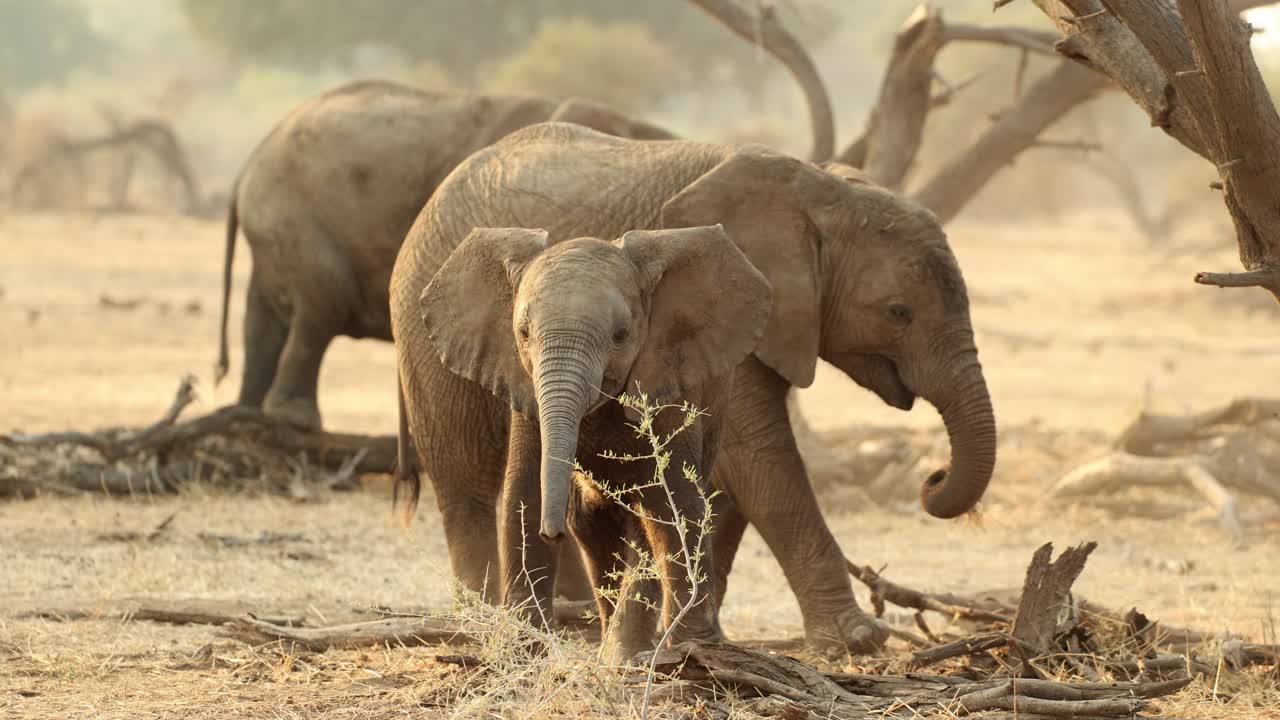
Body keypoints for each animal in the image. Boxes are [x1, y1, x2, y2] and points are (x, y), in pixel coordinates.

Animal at [214, 80, 675, 430]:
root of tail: (248, 164)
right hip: (296, 221)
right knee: (320, 308)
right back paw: (293, 420)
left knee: (264, 323)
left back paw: (248, 415)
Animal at [412, 223, 772, 658]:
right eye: (523, 333)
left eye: (621, 335)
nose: (552, 532)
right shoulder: (525, 387)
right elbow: (524, 489)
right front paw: (525, 647)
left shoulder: (665, 375)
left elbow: (673, 501)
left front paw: (687, 650)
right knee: (593, 526)